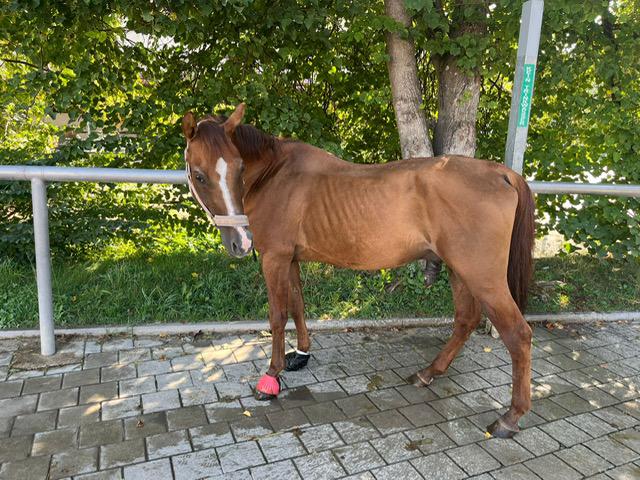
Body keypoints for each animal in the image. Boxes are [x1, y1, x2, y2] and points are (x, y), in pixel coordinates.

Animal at [182, 103, 536, 436]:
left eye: (239, 169)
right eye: (199, 175)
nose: (241, 242)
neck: (275, 173)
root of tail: (501, 173)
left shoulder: (274, 258)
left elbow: (277, 316)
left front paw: (271, 377)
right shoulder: (291, 259)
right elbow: (298, 305)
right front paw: (301, 354)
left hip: (483, 277)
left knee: (518, 334)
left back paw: (510, 417)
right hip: (459, 269)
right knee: (465, 319)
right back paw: (428, 373)